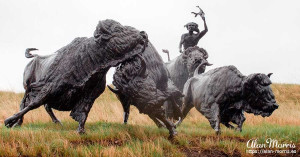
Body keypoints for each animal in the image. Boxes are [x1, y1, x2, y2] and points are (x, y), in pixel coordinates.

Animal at [4, 18, 149, 134]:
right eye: (118, 30)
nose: (144, 34)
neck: (89, 58)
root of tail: (33, 60)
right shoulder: (49, 88)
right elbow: (33, 104)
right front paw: (8, 121)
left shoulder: (90, 95)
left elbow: (83, 112)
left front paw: (81, 131)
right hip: (27, 85)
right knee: (25, 102)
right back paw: (18, 123)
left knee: (45, 106)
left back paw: (57, 122)